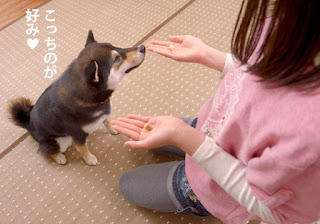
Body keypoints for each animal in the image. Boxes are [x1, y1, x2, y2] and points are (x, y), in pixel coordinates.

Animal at [7, 30, 145, 164]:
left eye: (118, 47)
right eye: (116, 58)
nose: (142, 47)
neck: (95, 100)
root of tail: (29, 125)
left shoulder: (104, 115)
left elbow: (108, 122)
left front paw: (113, 129)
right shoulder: (77, 135)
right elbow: (83, 149)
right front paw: (90, 159)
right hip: (61, 141)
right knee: (43, 151)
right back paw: (59, 157)